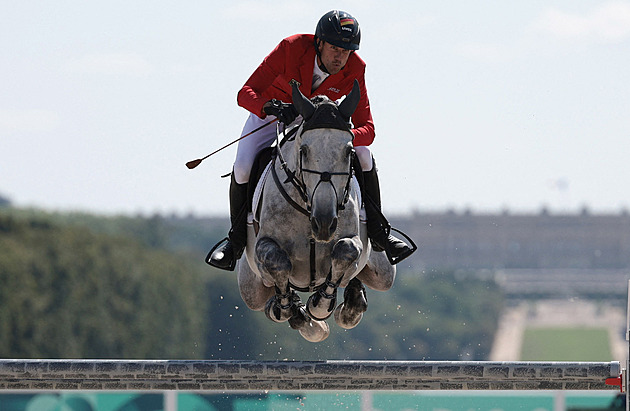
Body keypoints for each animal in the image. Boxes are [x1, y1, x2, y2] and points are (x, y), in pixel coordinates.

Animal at [239, 79, 398, 342]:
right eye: (303, 150)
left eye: (349, 152)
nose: (323, 224)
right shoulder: (264, 245)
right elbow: (277, 262)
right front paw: (292, 307)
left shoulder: (353, 240)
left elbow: (346, 251)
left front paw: (321, 305)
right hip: (250, 287)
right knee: (266, 300)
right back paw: (296, 314)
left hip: (384, 272)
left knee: (367, 279)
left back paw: (351, 304)